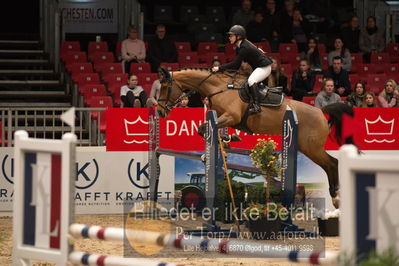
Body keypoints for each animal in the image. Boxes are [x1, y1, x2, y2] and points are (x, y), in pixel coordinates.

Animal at [157, 68, 354, 208]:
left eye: (166, 87)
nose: (159, 112)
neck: (217, 88)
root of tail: (321, 111)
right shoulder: (220, 117)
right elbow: (206, 129)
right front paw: (226, 142)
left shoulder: (231, 116)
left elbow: (207, 129)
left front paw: (221, 146)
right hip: (308, 147)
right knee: (330, 164)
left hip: (311, 147)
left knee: (332, 163)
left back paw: (336, 198)